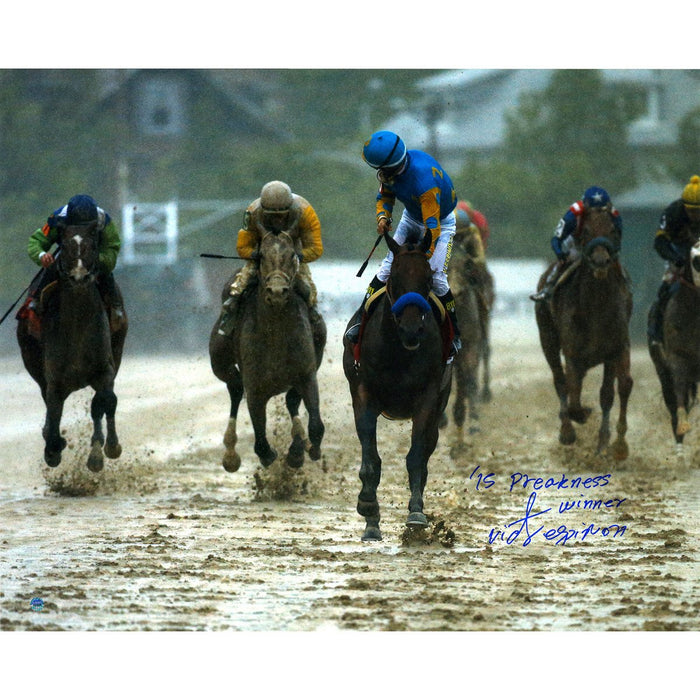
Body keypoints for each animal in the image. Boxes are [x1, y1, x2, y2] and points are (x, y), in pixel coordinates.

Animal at [16, 221, 127, 474]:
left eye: (92, 245)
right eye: (65, 246)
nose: (79, 276)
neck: (78, 324)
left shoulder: (104, 369)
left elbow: (105, 402)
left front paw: (103, 450)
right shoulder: (54, 379)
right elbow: (54, 413)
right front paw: (53, 448)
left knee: (103, 404)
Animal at [209, 232, 326, 474]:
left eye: (293, 256)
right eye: (261, 256)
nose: (277, 291)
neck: (276, 332)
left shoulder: (306, 374)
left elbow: (315, 424)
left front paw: (301, 451)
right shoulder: (255, 387)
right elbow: (261, 442)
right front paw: (270, 456)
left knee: (291, 400)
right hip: (220, 360)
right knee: (235, 388)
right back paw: (230, 453)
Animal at [342, 230, 452, 540]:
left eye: (428, 280)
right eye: (395, 278)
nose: (412, 330)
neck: (398, 351)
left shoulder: (428, 397)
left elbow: (416, 458)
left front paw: (416, 514)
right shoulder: (363, 392)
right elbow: (371, 458)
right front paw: (368, 508)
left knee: (425, 454)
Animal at [536, 208, 636, 460]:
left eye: (612, 230)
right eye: (587, 231)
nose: (601, 261)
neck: (596, 308)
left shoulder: (615, 349)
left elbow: (611, 392)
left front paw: (610, 445)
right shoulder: (573, 353)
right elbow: (572, 398)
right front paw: (579, 419)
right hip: (547, 338)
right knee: (560, 380)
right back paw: (567, 430)